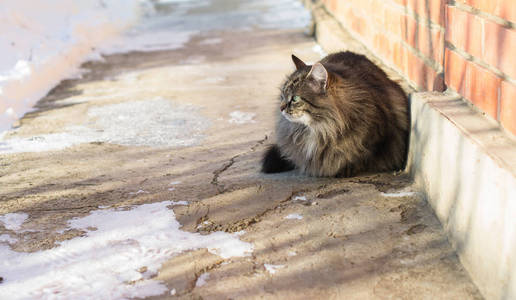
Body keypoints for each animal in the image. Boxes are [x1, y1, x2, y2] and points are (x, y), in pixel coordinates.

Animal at [264, 51, 410, 178]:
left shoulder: (379, 136)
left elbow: (361, 156)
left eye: (295, 98)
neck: (321, 128)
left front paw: (346, 169)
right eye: (283, 95)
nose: (281, 108)